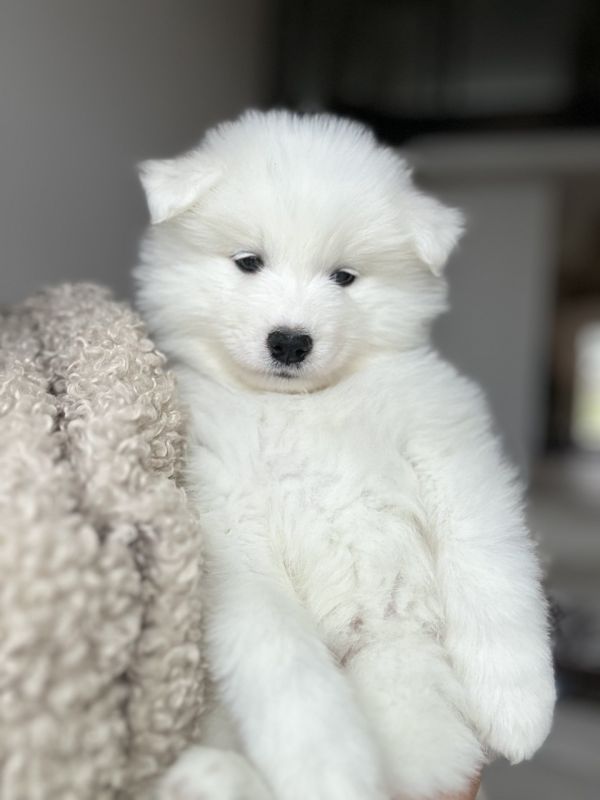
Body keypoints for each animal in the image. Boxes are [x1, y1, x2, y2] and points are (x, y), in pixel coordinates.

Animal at [135, 110, 555, 800]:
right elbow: (287, 669)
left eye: (344, 277)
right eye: (249, 262)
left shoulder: (449, 448)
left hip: (401, 670)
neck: (299, 406)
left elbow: (490, 569)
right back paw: (210, 775)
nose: (290, 341)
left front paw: (520, 706)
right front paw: (326, 767)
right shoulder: (229, 526)